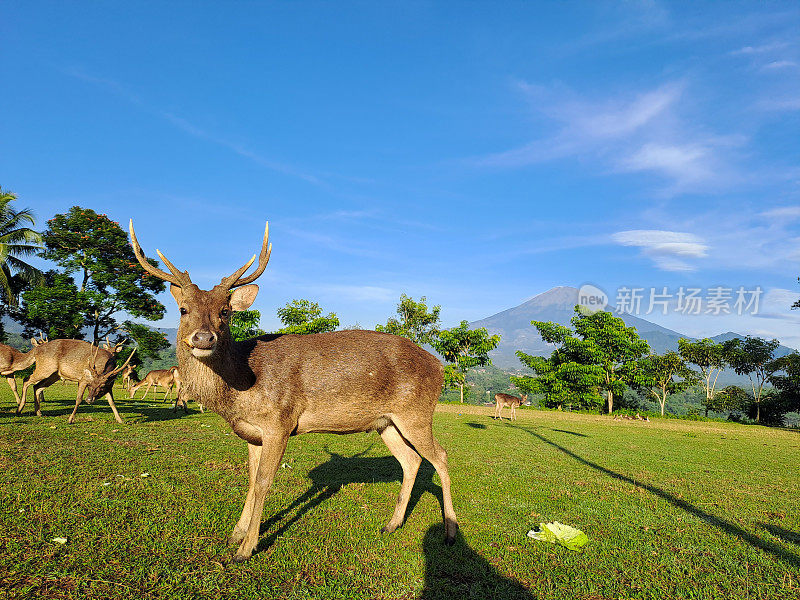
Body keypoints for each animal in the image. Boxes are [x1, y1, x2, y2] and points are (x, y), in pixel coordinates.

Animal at [129, 219, 460, 564]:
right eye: (183, 309)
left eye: (225, 311)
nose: (204, 338)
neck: (241, 386)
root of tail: (440, 367)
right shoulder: (253, 433)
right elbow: (251, 479)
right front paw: (236, 533)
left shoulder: (280, 421)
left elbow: (264, 481)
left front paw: (246, 548)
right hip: (387, 422)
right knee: (411, 461)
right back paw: (391, 524)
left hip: (417, 412)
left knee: (440, 456)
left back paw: (450, 532)